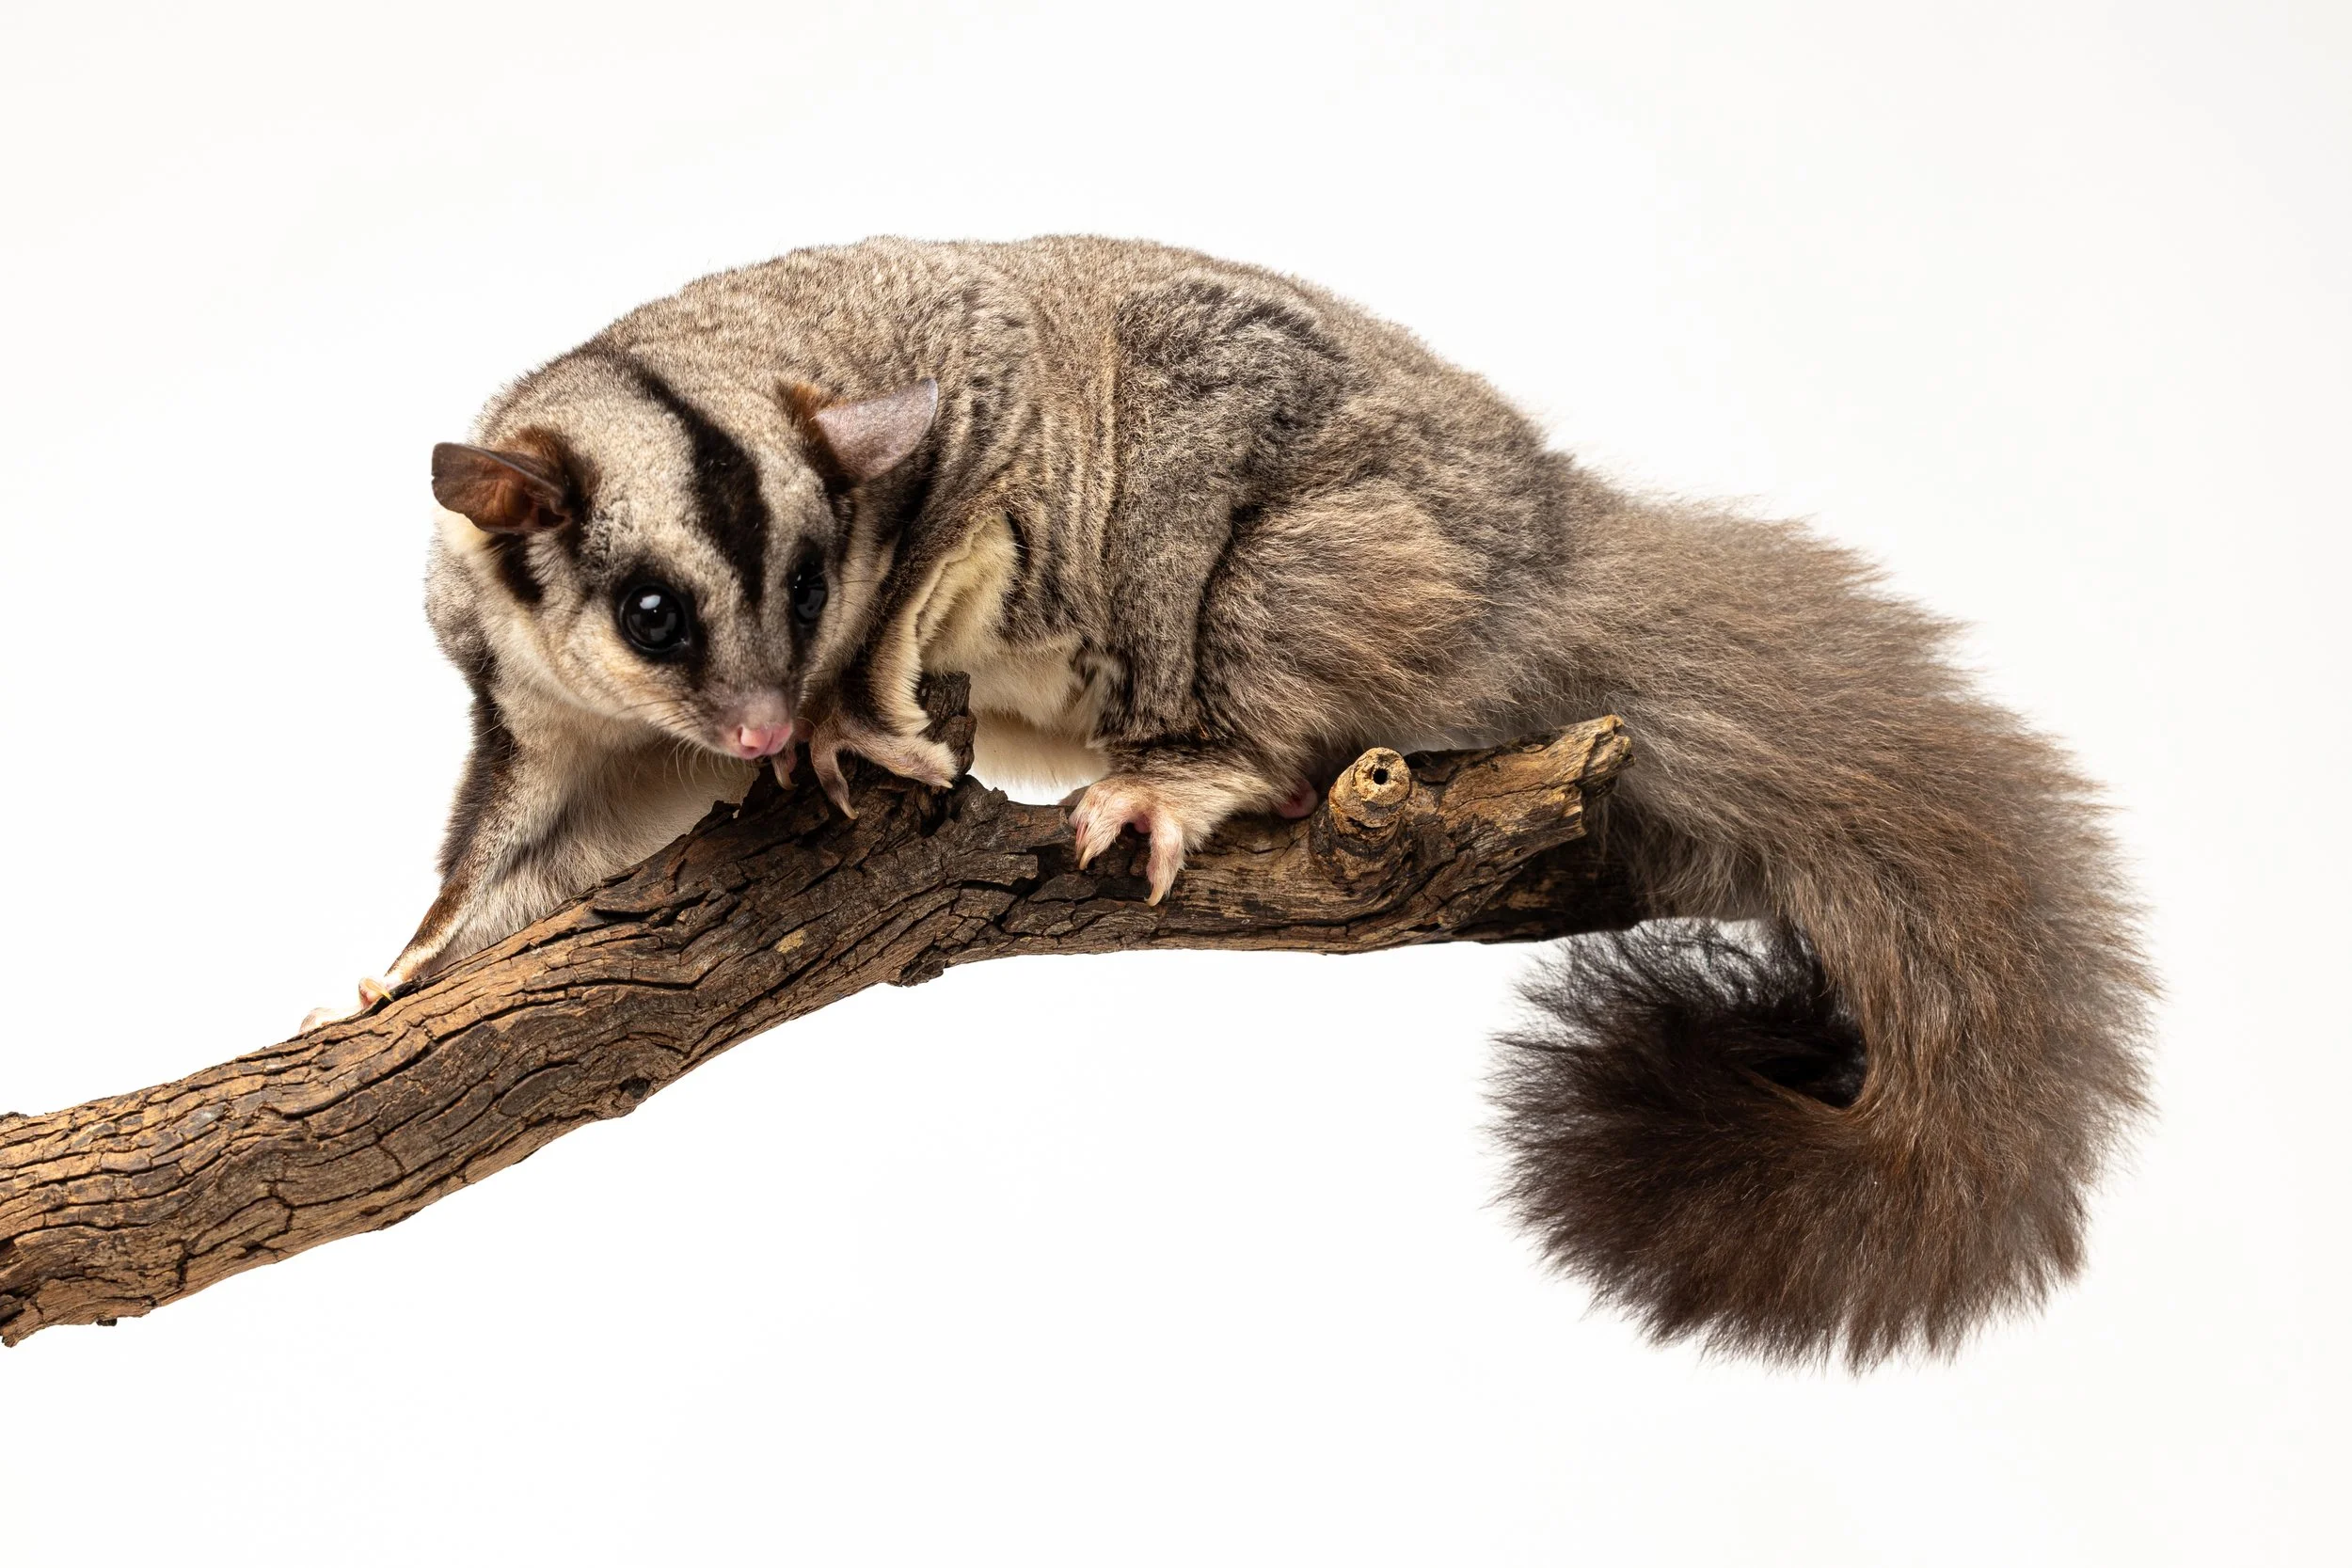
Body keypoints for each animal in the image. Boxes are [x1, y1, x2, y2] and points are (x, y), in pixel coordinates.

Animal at [335, 235, 2150, 1366]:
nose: (771, 710)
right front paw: (409, 968)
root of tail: (1554, 546)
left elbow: (956, 511)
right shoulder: (545, 703)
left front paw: (858, 719)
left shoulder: (973, 408)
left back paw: (1180, 766)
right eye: (654, 614)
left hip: (1358, 547)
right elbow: (540, 841)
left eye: (810, 582)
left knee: (1262, 620)